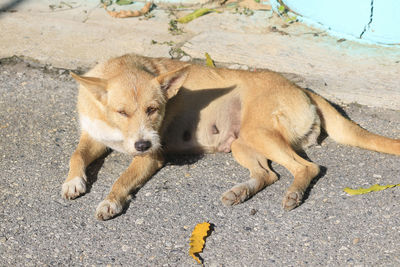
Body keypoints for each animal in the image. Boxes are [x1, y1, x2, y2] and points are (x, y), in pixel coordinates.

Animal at [60, 53, 400, 221]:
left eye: (153, 109)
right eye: (121, 112)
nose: (142, 144)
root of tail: (301, 88)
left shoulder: (152, 158)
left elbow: (120, 180)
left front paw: (110, 202)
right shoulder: (95, 135)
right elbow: (76, 154)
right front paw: (73, 181)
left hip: (259, 134)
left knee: (308, 167)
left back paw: (293, 194)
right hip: (240, 143)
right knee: (267, 174)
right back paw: (241, 192)